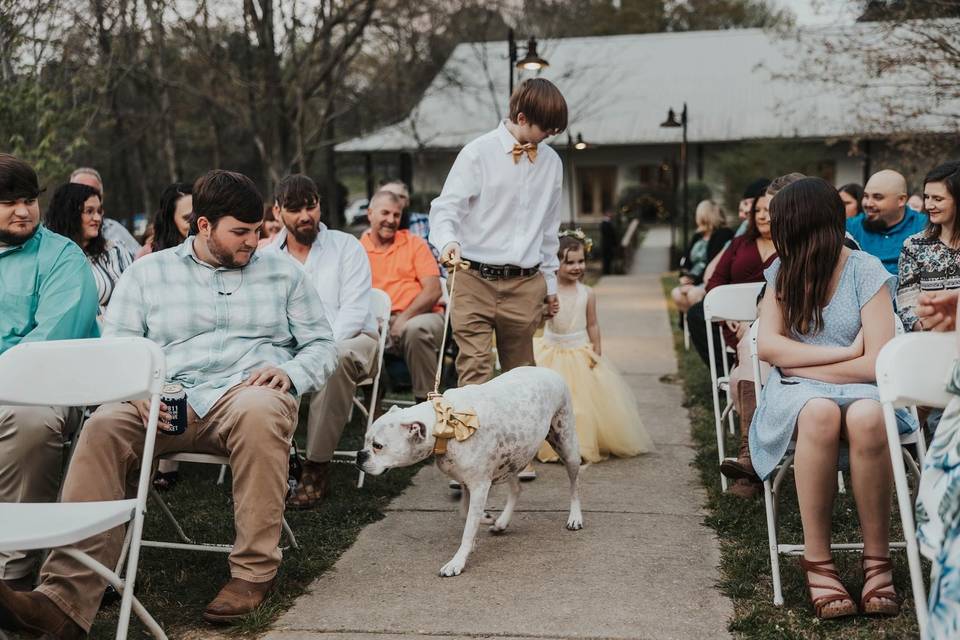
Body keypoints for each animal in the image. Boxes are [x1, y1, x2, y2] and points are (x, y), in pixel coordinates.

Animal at [356, 364, 580, 580]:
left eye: (378, 446)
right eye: (365, 440)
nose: (359, 455)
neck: (444, 425)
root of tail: (547, 370)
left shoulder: (480, 486)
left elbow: (467, 528)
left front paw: (457, 562)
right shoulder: (467, 482)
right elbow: (465, 514)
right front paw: (484, 520)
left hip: (567, 447)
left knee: (574, 486)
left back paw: (575, 518)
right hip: (510, 460)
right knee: (517, 488)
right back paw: (502, 522)